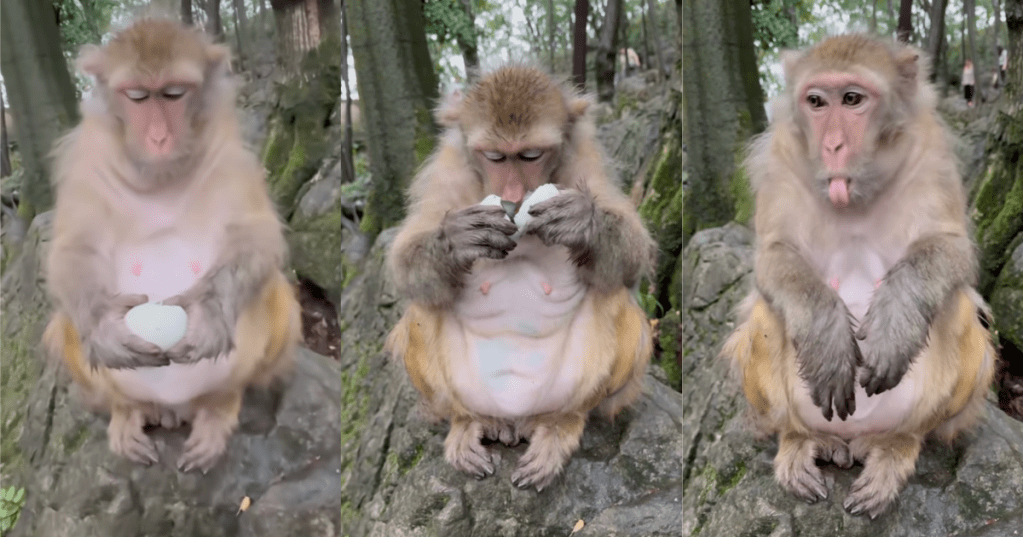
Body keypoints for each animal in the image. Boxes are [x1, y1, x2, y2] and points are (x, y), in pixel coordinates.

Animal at [41, 17, 302, 472]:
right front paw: (105, 325)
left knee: (274, 295)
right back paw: (127, 411)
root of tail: (177, 407)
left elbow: (257, 236)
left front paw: (210, 311)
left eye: (174, 94)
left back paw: (219, 407)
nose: (159, 137)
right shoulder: (86, 163)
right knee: (67, 324)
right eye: (138, 97)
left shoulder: (231, 159)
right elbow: (73, 252)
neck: (158, 177)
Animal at [384, 65, 656, 491]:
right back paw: (467, 423)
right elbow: (406, 261)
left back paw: (562, 427)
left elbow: (630, 257)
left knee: (614, 296)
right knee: (424, 303)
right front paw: (456, 239)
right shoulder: (449, 168)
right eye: (496, 157)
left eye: (530, 155)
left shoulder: (584, 159)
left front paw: (584, 222)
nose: (513, 191)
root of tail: (516, 420)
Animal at [720, 34, 997, 518]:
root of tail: (853, 440)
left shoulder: (930, 153)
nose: (832, 147)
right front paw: (826, 337)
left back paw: (894, 448)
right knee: (768, 315)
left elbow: (952, 248)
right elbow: (772, 255)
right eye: (816, 101)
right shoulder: (781, 158)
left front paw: (895, 323)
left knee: (957, 305)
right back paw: (802, 440)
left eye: (852, 99)